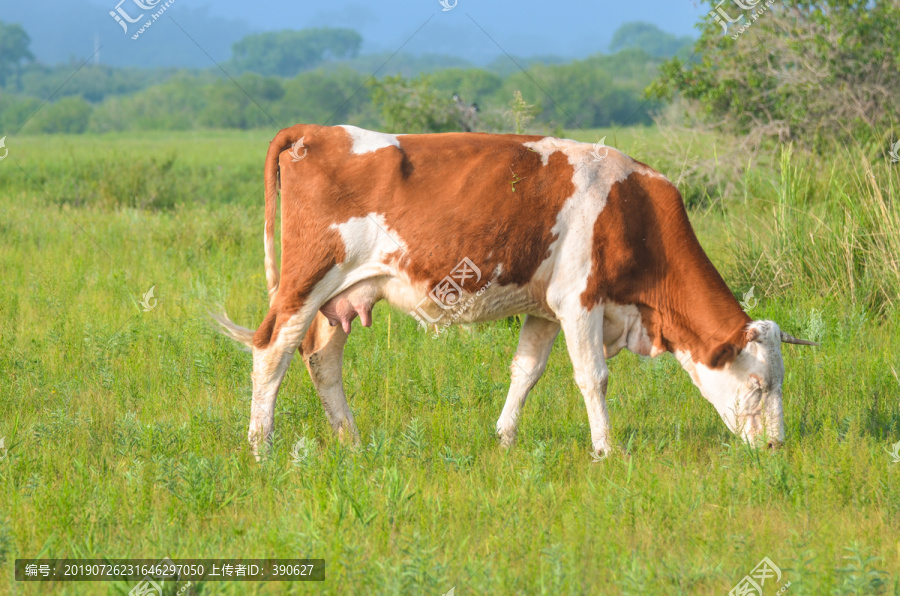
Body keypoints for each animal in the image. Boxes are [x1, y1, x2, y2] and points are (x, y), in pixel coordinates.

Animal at [214, 124, 820, 460]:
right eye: (760, 385)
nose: (776, 448)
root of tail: (316, 131)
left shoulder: (547, 309)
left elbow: (526, 371)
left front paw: (503, 440)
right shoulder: (581, 300)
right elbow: (593, 376)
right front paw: (607, 449)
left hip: (342, 298)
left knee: (322, 361)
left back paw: (352, 442)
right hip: (306, 281)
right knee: (271, 351)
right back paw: (261, 448)